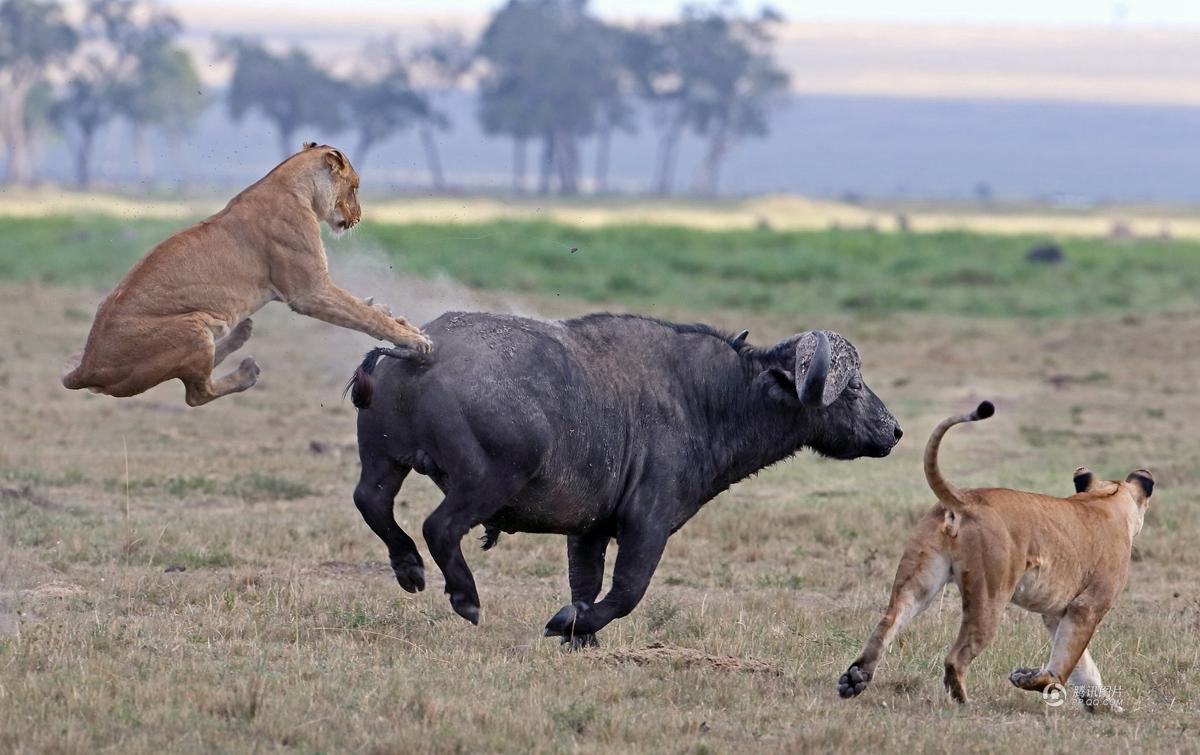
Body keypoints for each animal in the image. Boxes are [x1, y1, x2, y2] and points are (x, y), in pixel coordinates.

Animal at [348, 309, 902, 643]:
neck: (708, 400)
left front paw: (581, 635)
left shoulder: (587, 531)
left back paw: (408, 569)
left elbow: (585, 582)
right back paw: (465, 598)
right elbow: (627, 591)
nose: (894, 430)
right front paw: (569, 625)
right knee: (438, 527)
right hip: (486, 480)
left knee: (371, 502)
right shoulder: (648, 524)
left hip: (384, 460)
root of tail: (424, 347)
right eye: (853, 387)